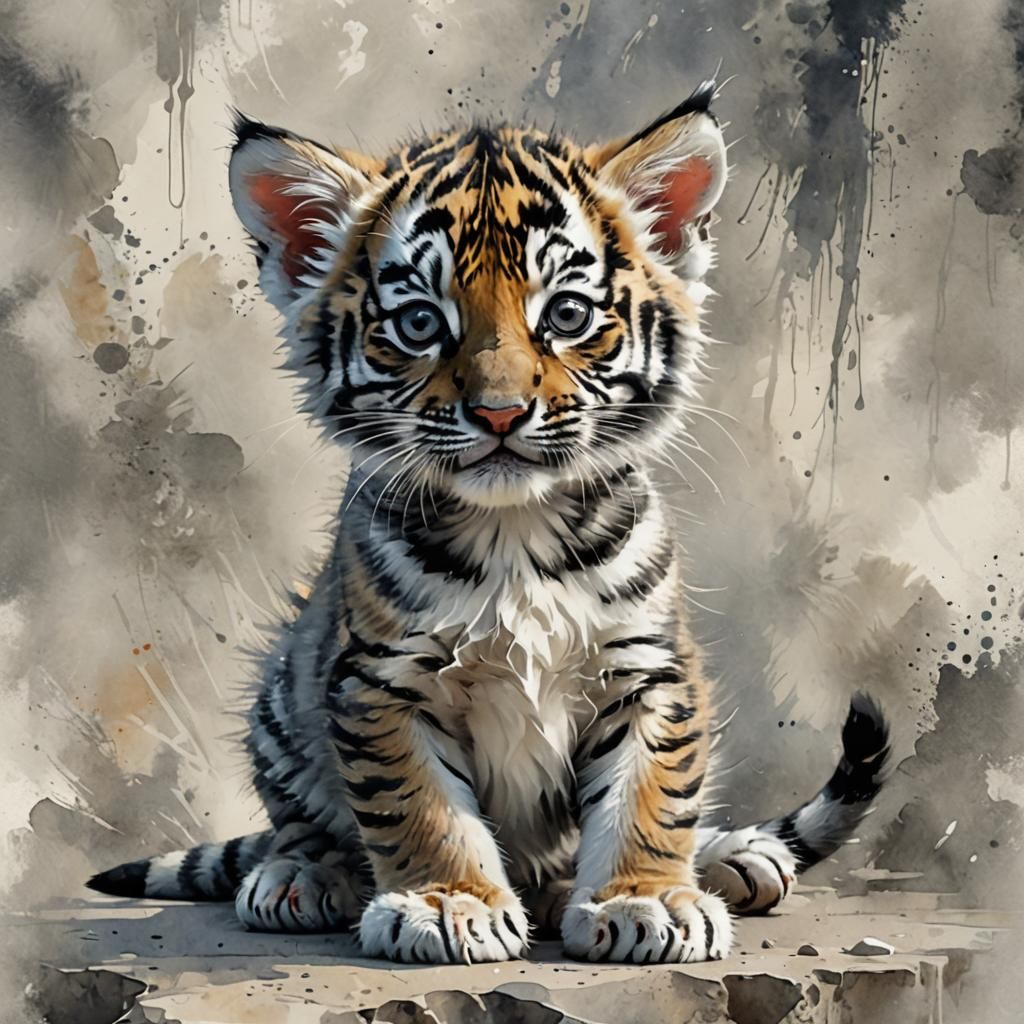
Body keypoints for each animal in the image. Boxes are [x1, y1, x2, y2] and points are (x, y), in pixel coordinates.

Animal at [87, 81, 890, 965]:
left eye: (566, 316)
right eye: (419, 324)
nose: (500, 413)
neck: (517, 533)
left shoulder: (646, 669)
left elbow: (651, 794)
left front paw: (646, 899)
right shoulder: (383, 682)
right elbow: (419, 805)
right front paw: (449, 904)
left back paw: (731, 856)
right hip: (282, 694)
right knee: (298, 822)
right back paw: (300, 876)